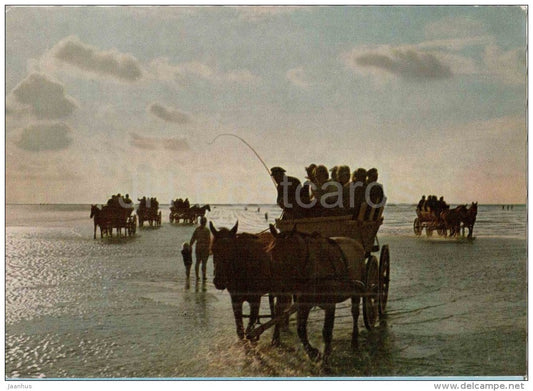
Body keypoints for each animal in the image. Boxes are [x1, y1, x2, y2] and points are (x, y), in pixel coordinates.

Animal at [266, 225, 366, 366]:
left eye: (290, 255)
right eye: (271, 253)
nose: (277, 289)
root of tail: (357, 243)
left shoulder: (330, 304)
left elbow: (327, 332)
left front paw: (325, 359)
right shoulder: (304, 304)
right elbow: (301, 330)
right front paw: (313, 353)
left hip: (357, 291)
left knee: (355, 313)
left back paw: (354, 340)